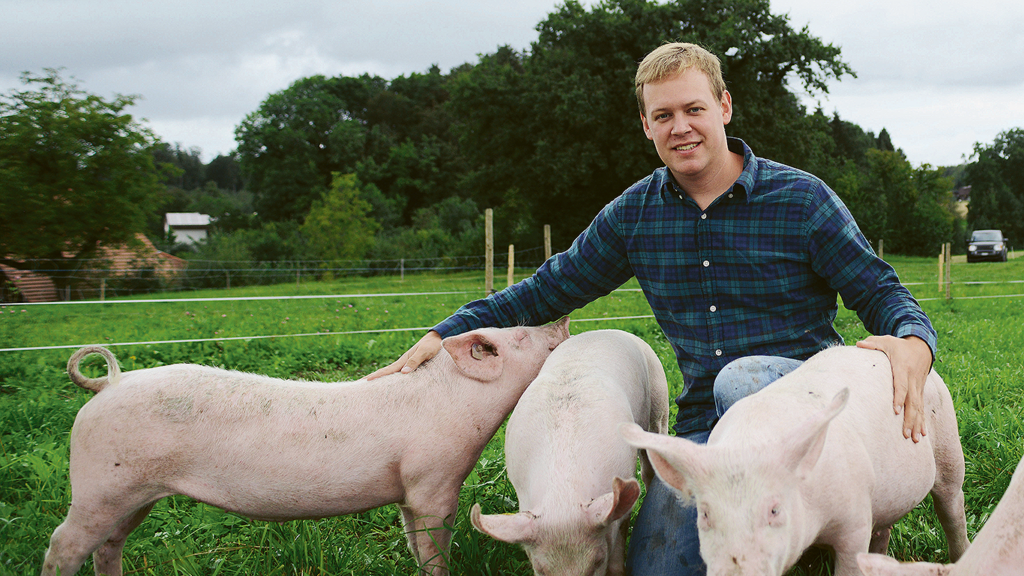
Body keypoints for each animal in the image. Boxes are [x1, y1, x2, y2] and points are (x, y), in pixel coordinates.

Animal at [41, 315, 569, 573]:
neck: (461, 401)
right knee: (64, 543)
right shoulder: (434, 482)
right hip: (99, 486)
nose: (563, 319)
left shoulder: (408, 492)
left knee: (109, 545)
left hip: (134, 495)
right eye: (521, 336)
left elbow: (414, 543)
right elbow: (436, 545)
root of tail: (109, 384)